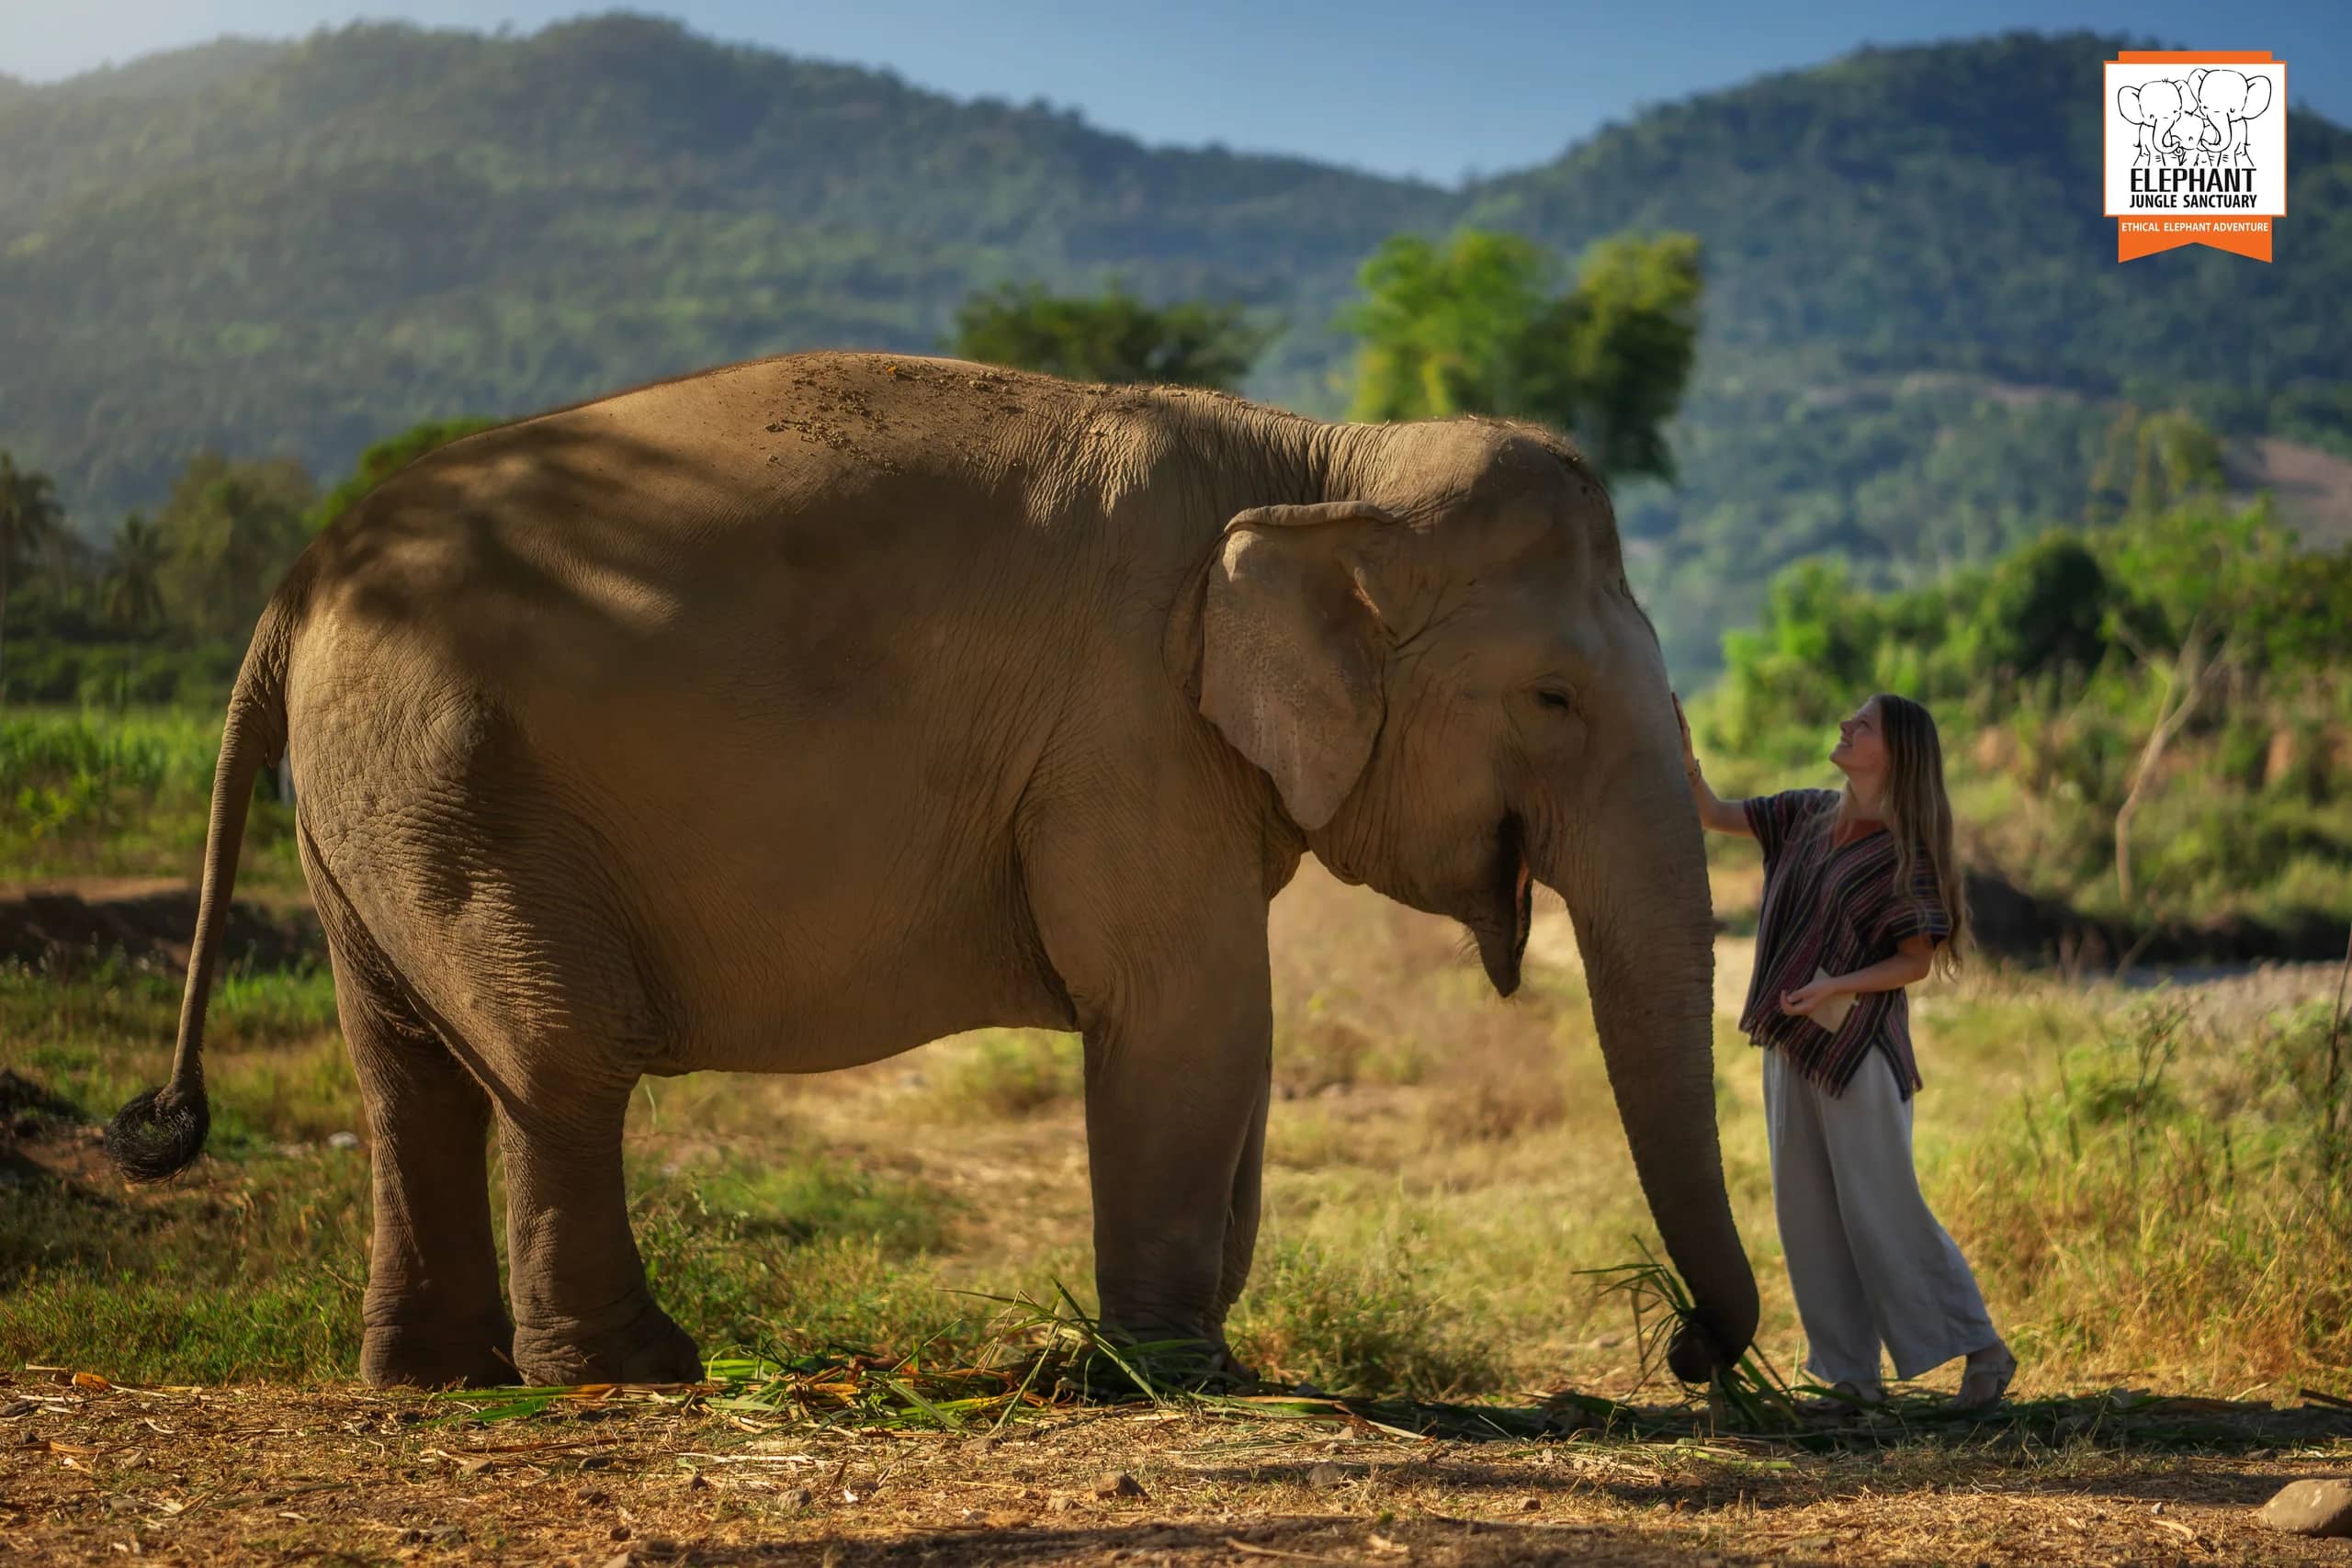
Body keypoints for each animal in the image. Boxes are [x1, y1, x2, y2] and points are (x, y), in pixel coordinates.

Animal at [104, 352, 1759, 1391]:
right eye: (1554, 696)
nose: (1687, 1348)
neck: (1321, 458)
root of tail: (294, 588)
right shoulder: (1124, 726)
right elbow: (1188, 1010)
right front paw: (1181, 1375)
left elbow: (1227, 1030)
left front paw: (1192, 1352)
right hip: (449, 779)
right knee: (557, 1047)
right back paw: (632, 1370)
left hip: (372, 806)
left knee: (408, 1068)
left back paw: (435, 1379)